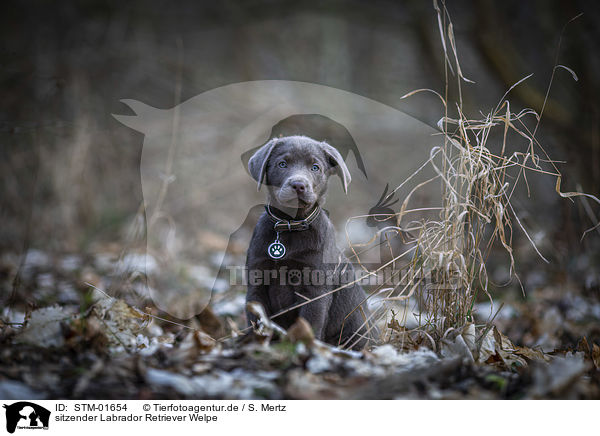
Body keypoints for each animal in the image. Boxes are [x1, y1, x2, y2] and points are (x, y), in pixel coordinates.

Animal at [246, 135, 372, 350]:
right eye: (282, 164)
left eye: (315, 167)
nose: (298, 185)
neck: (289, 226)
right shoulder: (256, 281)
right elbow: (256, 320)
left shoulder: (314, 290)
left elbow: (310, 324)